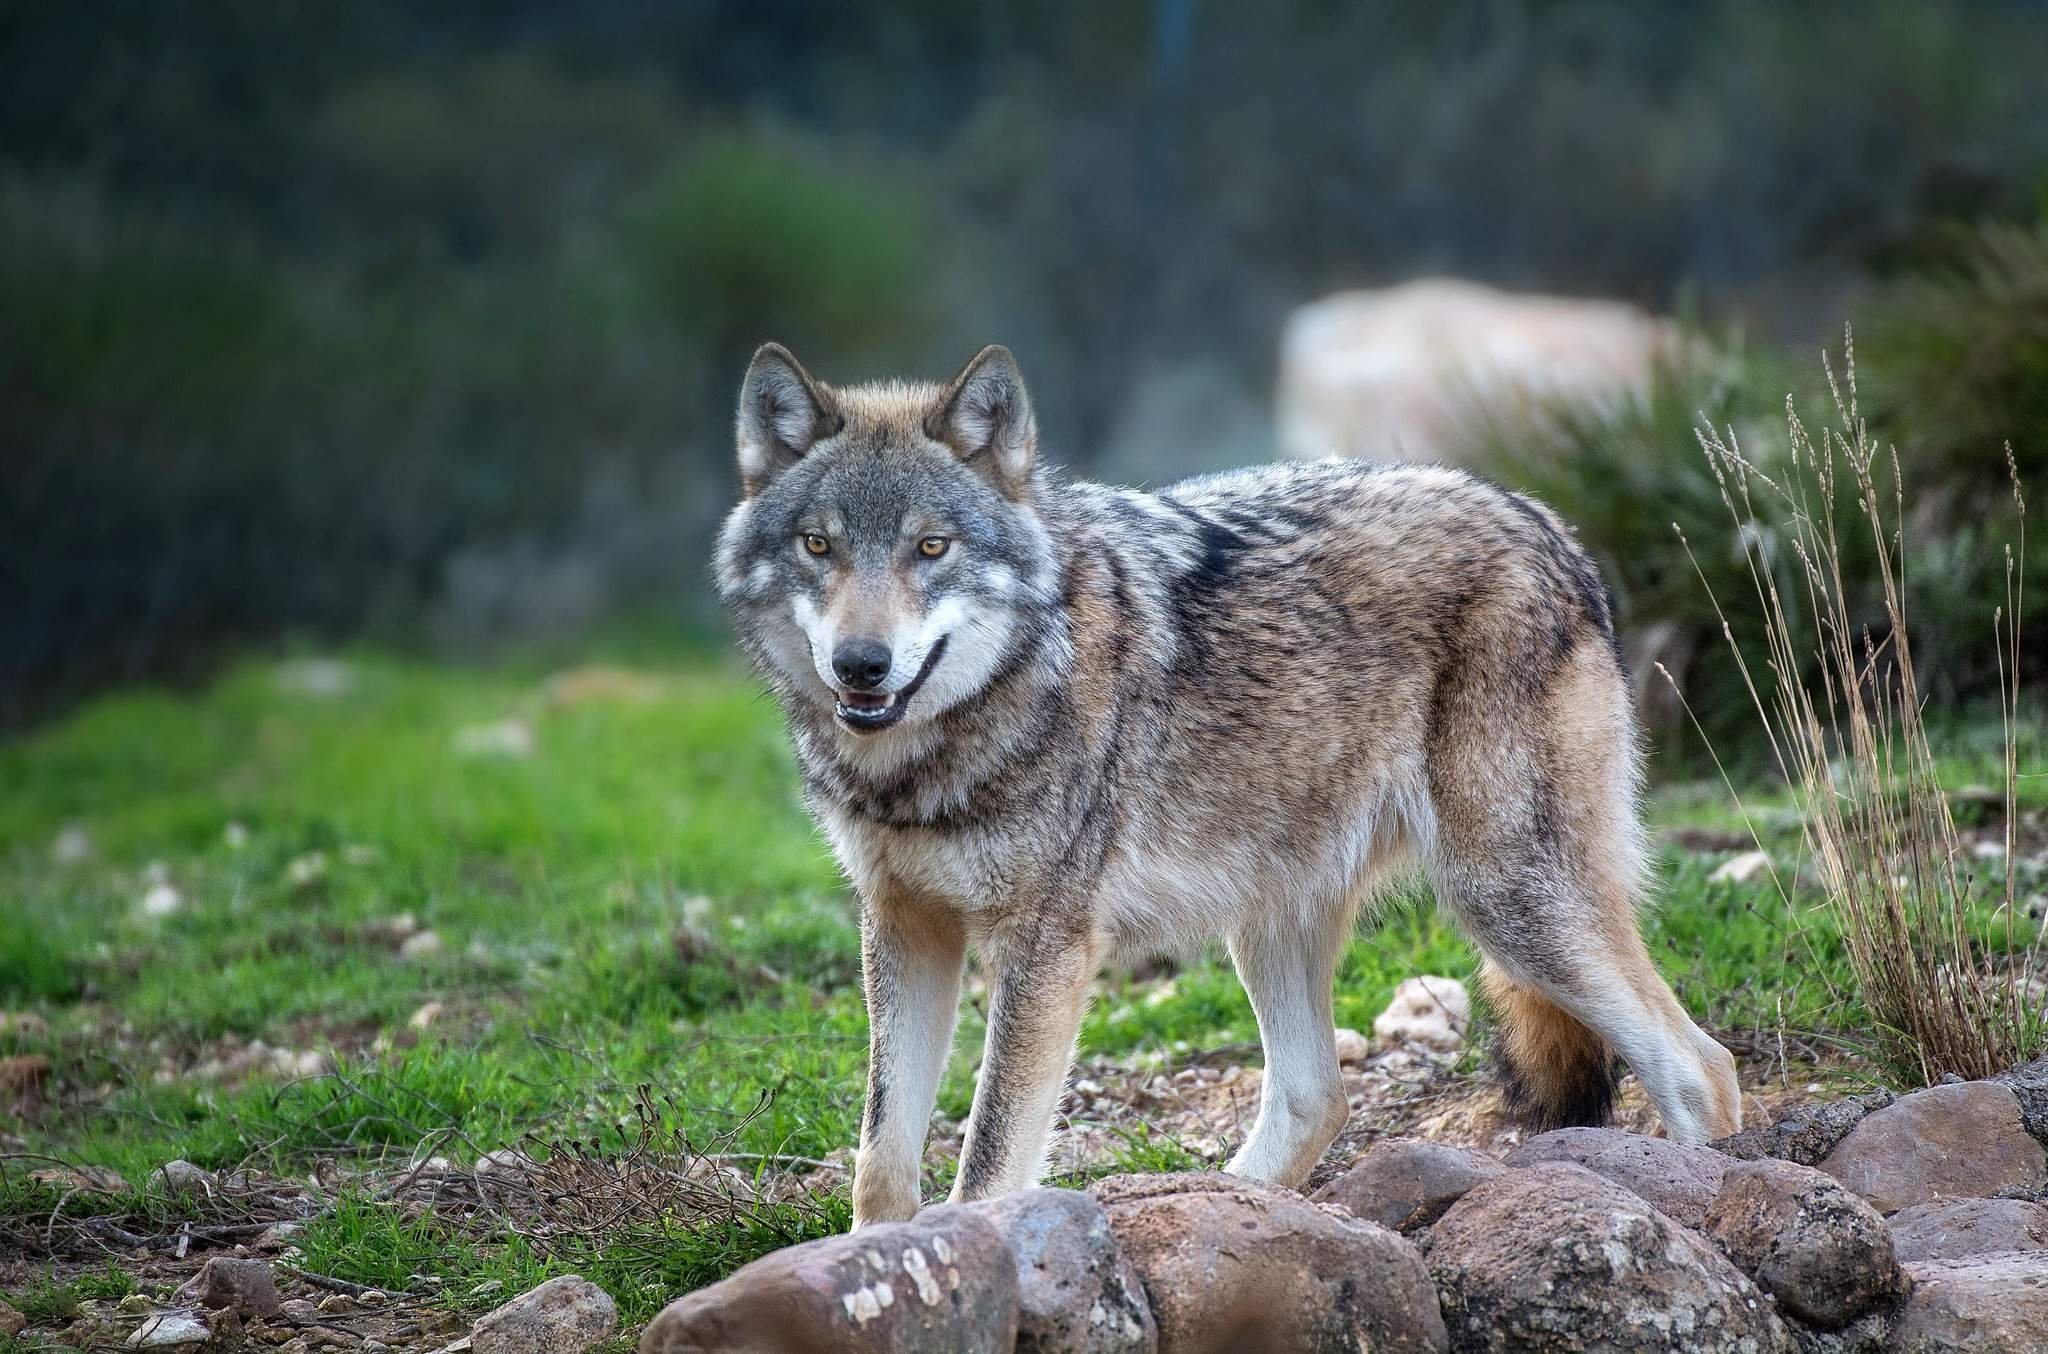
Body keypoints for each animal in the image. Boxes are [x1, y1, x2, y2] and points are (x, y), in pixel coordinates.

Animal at [712, 340, 1736, 1229]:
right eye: (818, 546)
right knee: (1316, 1097)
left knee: (1702, 1068)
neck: (933, 760)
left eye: (931, 548)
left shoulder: (1046, 947)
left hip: (1506, 902)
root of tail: (1550, 525)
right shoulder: (902, 926)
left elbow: (988, 1162)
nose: (861, 665)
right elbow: (881, 1164)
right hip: (1275, 919)